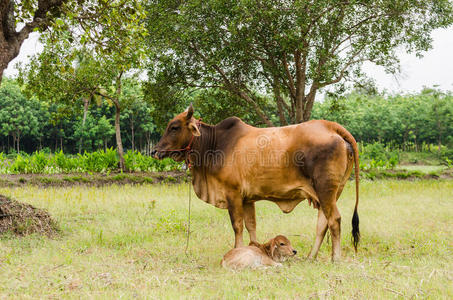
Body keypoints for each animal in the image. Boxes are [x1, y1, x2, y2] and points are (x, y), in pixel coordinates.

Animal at [153, 104, 360, 262]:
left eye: (174, 127)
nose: (154, 151)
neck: (215, 144)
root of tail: (331, 127)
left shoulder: (233, 194)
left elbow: (237, 225)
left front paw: (237, 249)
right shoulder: (248, 199)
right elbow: (251, 225)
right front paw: (253, 247)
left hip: (326, 190)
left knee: (334, 220)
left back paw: (335, 258)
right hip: (331, 192)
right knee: (322, 224)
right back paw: (311, 257)